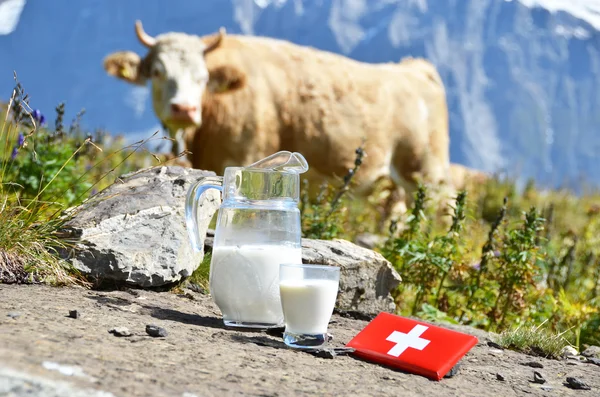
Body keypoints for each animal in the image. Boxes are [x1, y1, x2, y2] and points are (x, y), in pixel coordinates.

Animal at [104, 21, 454, 226]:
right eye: (158, 71)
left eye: (203, 77)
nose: (184, 109)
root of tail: (415, 68)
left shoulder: (245, 153)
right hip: (390, 189)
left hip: (427, 173)